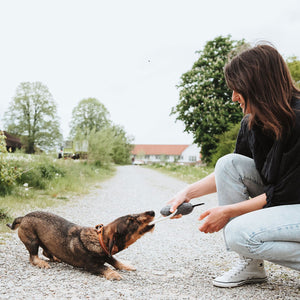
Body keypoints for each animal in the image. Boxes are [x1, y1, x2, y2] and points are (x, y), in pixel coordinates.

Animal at [7, 210, 155, 280]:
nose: (152, 212)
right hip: (32, 241)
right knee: (33, 257)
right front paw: (113, 274)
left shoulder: (108, 255)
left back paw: (56, 258)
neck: (99, 239)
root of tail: (24, 217)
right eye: (131, 220)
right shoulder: (91, 266)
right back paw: (41, 263)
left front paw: (126, 266)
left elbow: (115, 261)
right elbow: (106, 267)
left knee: (46, 252)